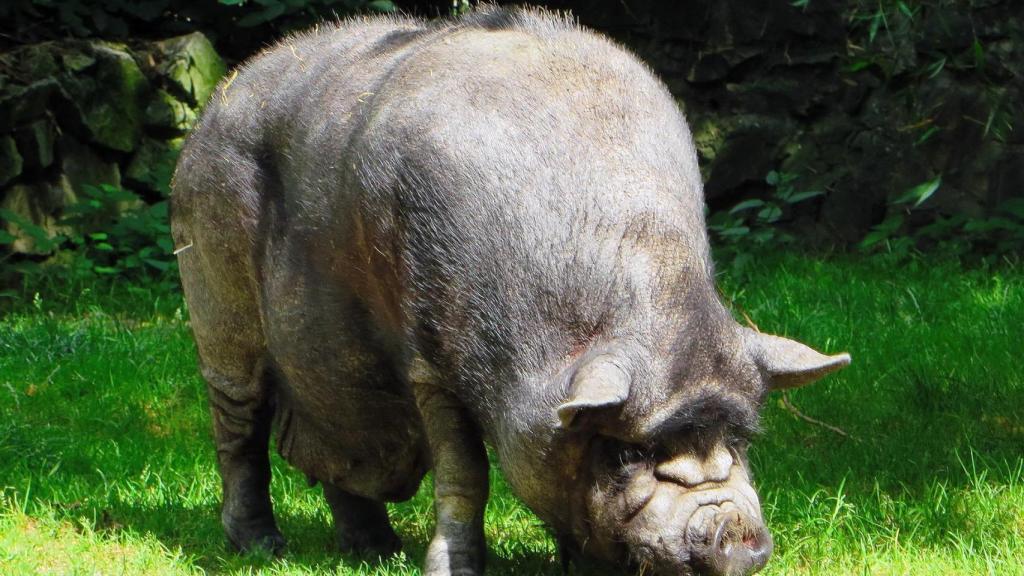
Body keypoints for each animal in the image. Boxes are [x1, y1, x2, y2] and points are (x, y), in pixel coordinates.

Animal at [170, 6, 850, 576]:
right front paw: (453, 571)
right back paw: (260, 547)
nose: (735, 534)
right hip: (214, 293)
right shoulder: (431, 366)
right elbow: (466, 474)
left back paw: (375, 551)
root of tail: (215, 105)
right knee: (239, 425)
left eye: (738, 439)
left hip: (333, 365)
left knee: (344, 441)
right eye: (625, 456)